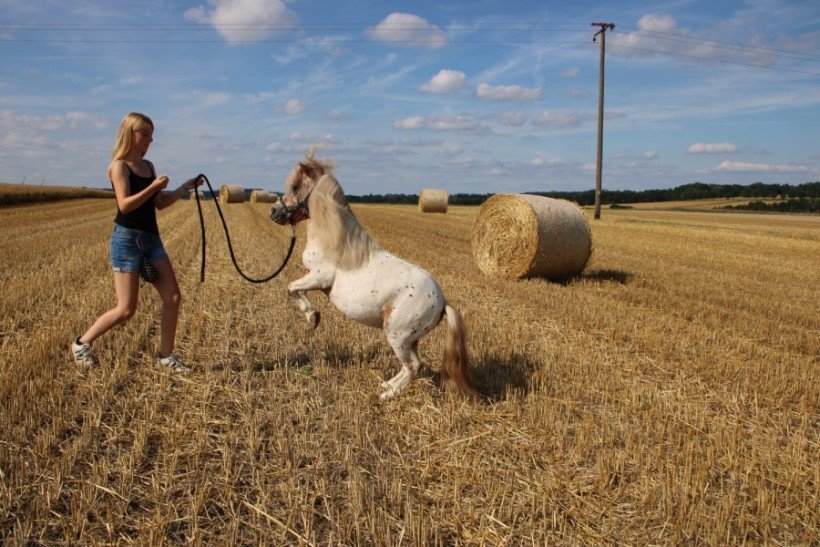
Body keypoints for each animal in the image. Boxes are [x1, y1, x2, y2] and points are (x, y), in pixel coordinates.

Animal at [272, 151, 484, 402]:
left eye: (295, 186)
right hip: (410, 339)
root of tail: (443, 303)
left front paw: (313, 317)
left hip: (397, 335)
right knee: (411, 366)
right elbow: (294, 288)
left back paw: (386, 395)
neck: (336, 243)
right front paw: (313, 317)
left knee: (414, 366)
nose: (274, 212)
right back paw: (386, 385)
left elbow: (291, 287)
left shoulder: (319, 277)